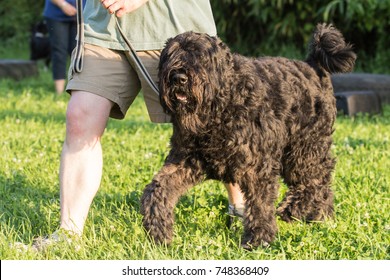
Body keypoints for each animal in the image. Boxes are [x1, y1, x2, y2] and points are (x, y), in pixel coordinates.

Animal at [141, 23, 356, 248]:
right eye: (170, 55)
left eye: (200, 56)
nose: (179, 78)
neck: (222, 106)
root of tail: (313, 65)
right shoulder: (186, 160)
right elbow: (157, 189)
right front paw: (158, 229)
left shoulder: (257, 166)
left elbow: (260, 204)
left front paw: (258, 240)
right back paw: (322, 215)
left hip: (305, 149)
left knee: (315, 181)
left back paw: (295, 209)